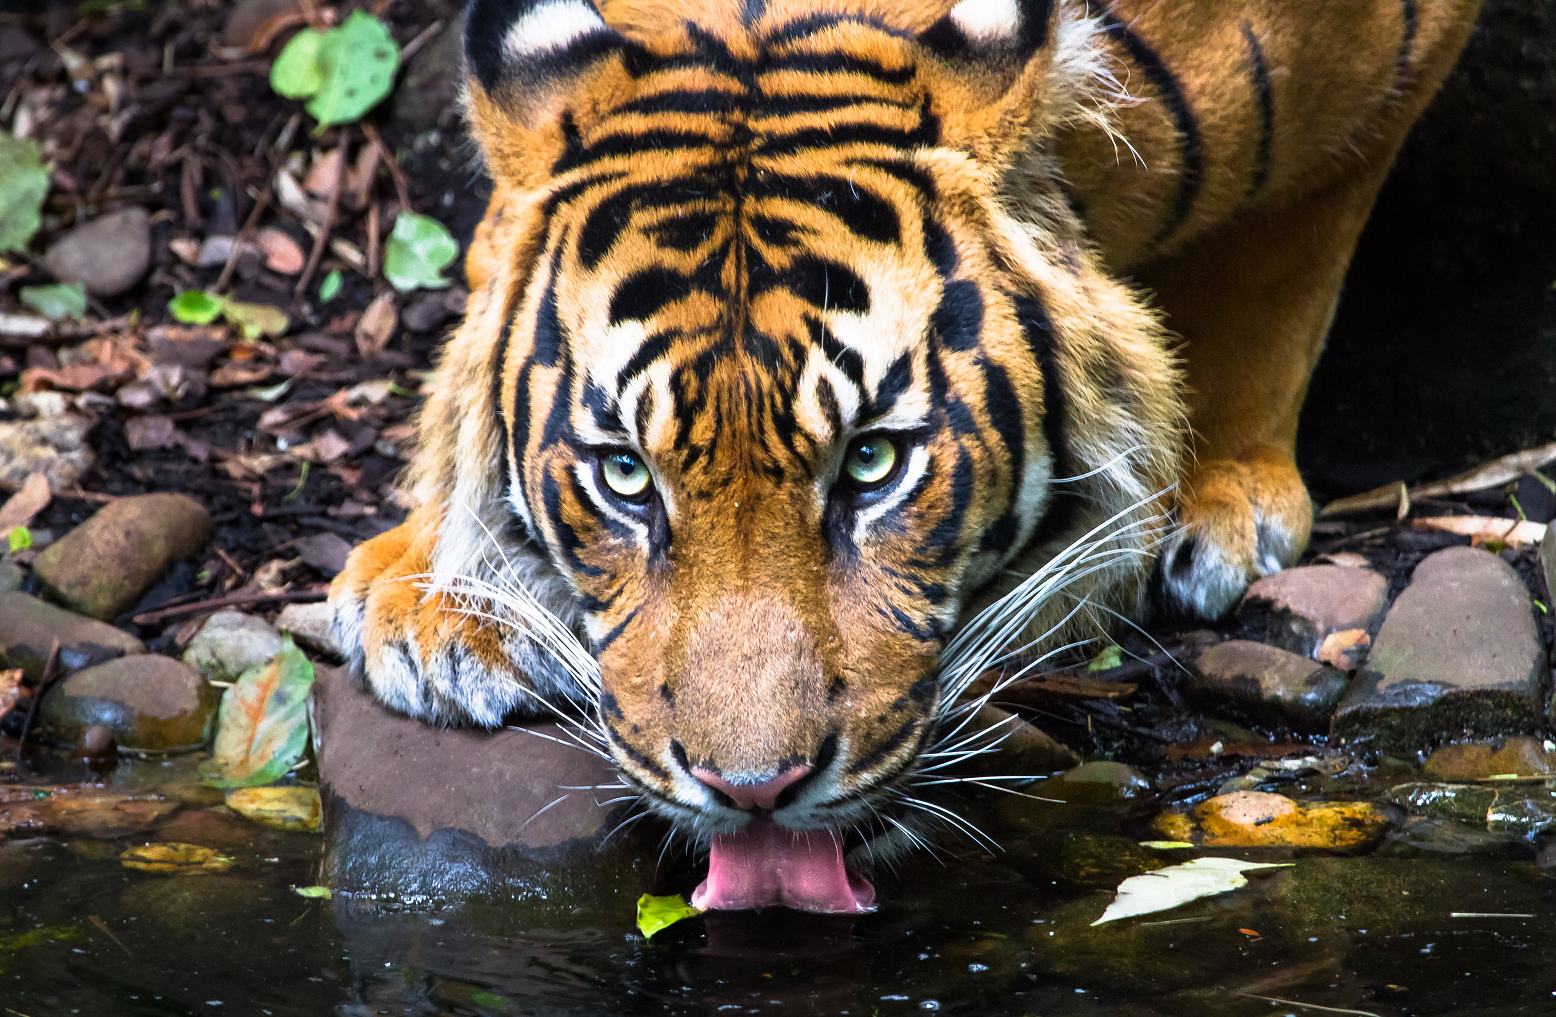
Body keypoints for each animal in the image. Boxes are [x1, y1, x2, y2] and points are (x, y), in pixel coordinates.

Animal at [331, 0, 1481, 914]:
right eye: (625, 476)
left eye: (872, 464)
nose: (752, 790)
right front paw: (437, 598)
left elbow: (1286, 267)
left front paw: (1225, 489)